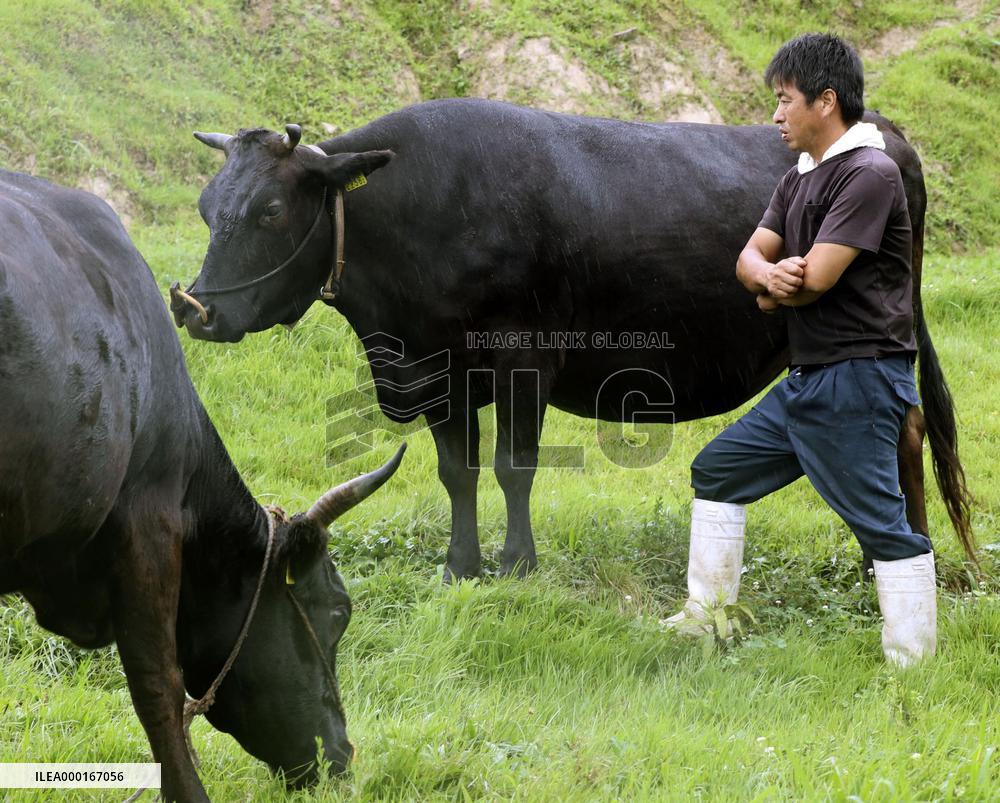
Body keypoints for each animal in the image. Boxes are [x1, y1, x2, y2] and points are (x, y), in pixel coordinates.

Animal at [173, 98, 973, 583]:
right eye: (208, 206)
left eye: (271, 210)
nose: (195, 310)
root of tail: (883, 131)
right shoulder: (437, 364)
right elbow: (458, 471)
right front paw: (461, 565)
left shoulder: (523, 354)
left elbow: (513, 466)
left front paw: (517, 563)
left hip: (886, 339)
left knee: (902, 434)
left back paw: (897, 562)